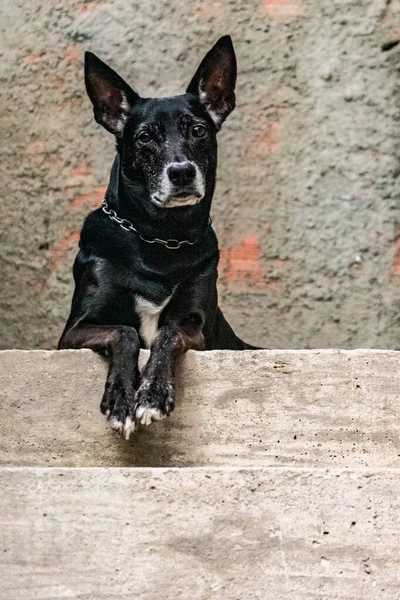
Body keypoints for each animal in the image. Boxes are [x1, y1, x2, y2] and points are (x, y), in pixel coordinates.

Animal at [58, 38, 260, 440]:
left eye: (198, 130)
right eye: (145, 137)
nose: (181, 173)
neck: (160, 239)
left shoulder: (196, 327)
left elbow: (166, 333)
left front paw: (151, 395)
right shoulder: (73, 331)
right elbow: (125, 332)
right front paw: (122, 400)